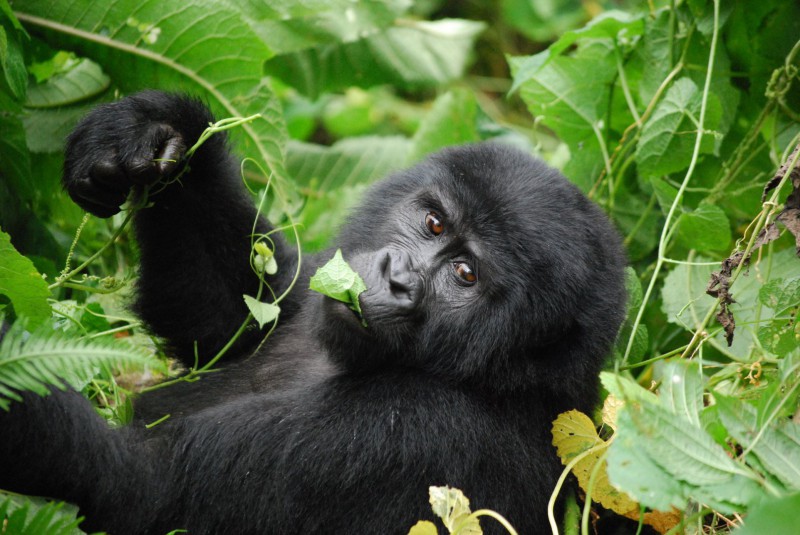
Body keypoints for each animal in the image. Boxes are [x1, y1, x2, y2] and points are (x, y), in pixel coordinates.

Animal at [0, 92, 624, 535]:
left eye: (466, 275)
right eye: (434, 223)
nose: (395, 277)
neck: (503, 378)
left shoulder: (421, 430)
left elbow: (139, 488)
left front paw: (21, 408)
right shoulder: (310, 288)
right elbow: (239, 318)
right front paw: (157, 127)